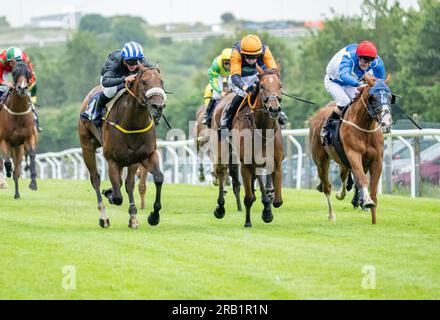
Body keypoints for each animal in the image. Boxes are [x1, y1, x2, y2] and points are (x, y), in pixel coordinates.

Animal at [0, 61, 38, 199]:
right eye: (14, 73)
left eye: (28, 73)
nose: (22, 88)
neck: (17, 113)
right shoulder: (3, 140)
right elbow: (6, 162)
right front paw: (8, 171)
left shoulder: (28, 139)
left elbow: (32, 155)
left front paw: (33, 183)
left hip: (18, 148)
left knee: (17, 168)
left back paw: (17, 193)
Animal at [78, 66, 166, 229]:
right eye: (144, 82)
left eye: (161, 81)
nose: (158, 106)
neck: (132, 123)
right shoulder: (112, 159)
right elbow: (118, 197)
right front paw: (110, 194)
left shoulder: (144, 156)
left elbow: (156, 178)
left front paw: (152, 216)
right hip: (87, 146)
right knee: (95, 179)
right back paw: (104, 216)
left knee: (124, 182)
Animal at [211, 65, 284, 226]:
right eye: (262, 86)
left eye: (280, 86)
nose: (274, 109)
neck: (263, 129)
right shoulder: (244, 163)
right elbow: (248, 198)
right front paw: (248, 222)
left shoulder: (276, 162)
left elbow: (278, 201)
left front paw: (268, 211)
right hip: (222, 147)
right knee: (221, 171)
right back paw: (220, 208)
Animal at [308, 74, 394, 225]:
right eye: (373, 98)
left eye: (390, 97)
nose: (386, 123)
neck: (365, 128)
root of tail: (316, 116)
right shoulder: (354, 154)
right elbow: (362, 179)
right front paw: (367, 201)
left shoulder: (377, 160)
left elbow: (373, 190)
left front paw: (374, 219)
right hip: (321, 161)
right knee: (326, 186)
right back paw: (331, 214)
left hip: (343, 161)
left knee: (343, 177)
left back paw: (341, 194)